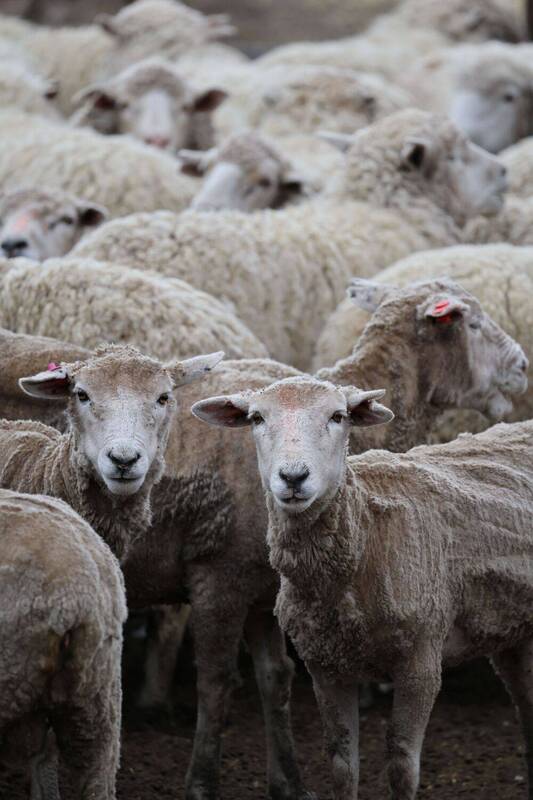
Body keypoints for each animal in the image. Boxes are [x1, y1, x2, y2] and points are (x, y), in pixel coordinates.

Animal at [192, 376, 533, 800]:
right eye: (256, 418)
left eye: (338, 416)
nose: (293, 477)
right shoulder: (325, 666)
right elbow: (342, 764)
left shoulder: (421, 659)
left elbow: (402, 765)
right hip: (511, 630)